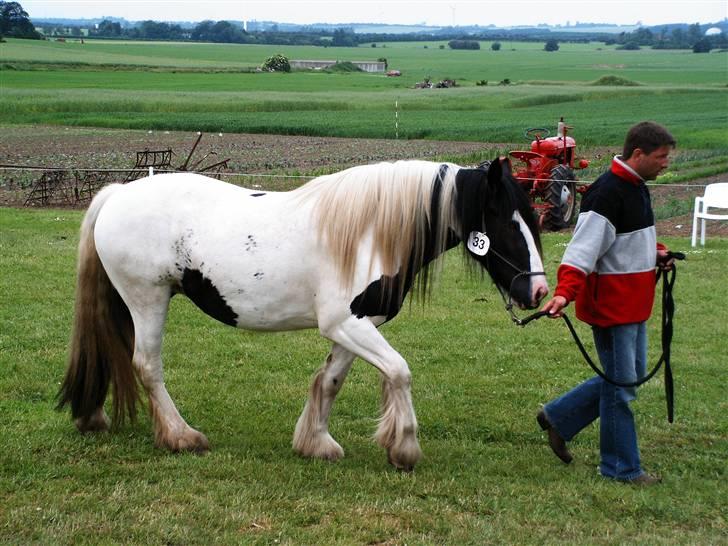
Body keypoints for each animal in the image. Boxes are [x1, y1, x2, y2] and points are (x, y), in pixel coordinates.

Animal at [57, 156, 544, 468]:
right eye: (506, 222)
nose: (538, 290)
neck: (370, 233)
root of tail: (118, 193)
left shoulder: (354, 326)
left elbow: (330, 380)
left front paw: (316, 443)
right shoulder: (346, 323)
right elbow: (399, 372)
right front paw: (404, 448)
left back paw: (93, 416)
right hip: (148, 299)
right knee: (147, 365)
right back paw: (181, 436)